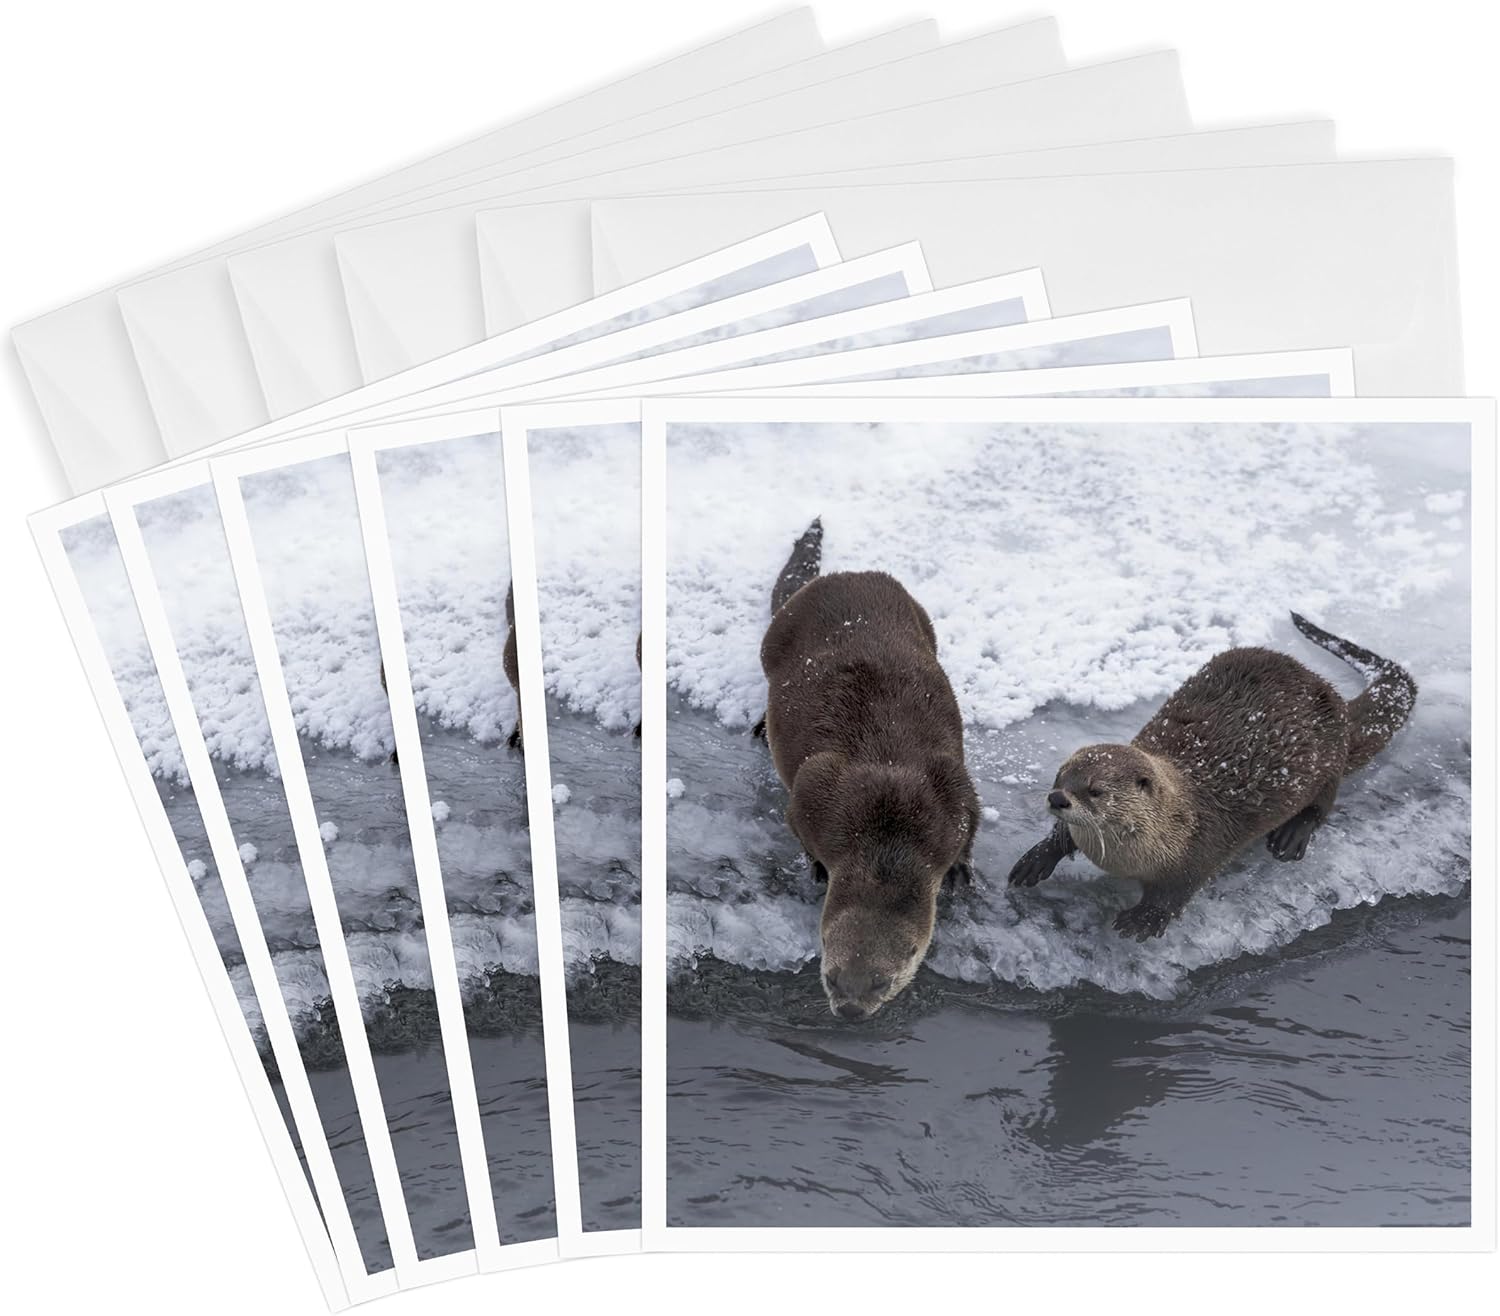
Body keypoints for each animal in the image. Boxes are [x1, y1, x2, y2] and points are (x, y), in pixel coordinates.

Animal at [758, 518, 980, 1020]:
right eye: (832, 976)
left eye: (881, 981)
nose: (851, 1011)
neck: (889, 832)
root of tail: (842, 576)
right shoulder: (815, 793)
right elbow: (800, 823)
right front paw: (817, 869)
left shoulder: (951, 791)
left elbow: (970, 821)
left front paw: (960, 870)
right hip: (773, 639)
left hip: (920, 615)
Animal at [1006, 613, 1417, 940]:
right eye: (1060, 777)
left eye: (1095, 790)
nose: (1057, 798)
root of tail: (1338, 704)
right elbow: (1062, 839)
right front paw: (1038, 857)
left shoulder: (1200, 847)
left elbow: (1180, 889)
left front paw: (1145, 918)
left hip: (1328, 759)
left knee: (1323, 802)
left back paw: (1291, 836)